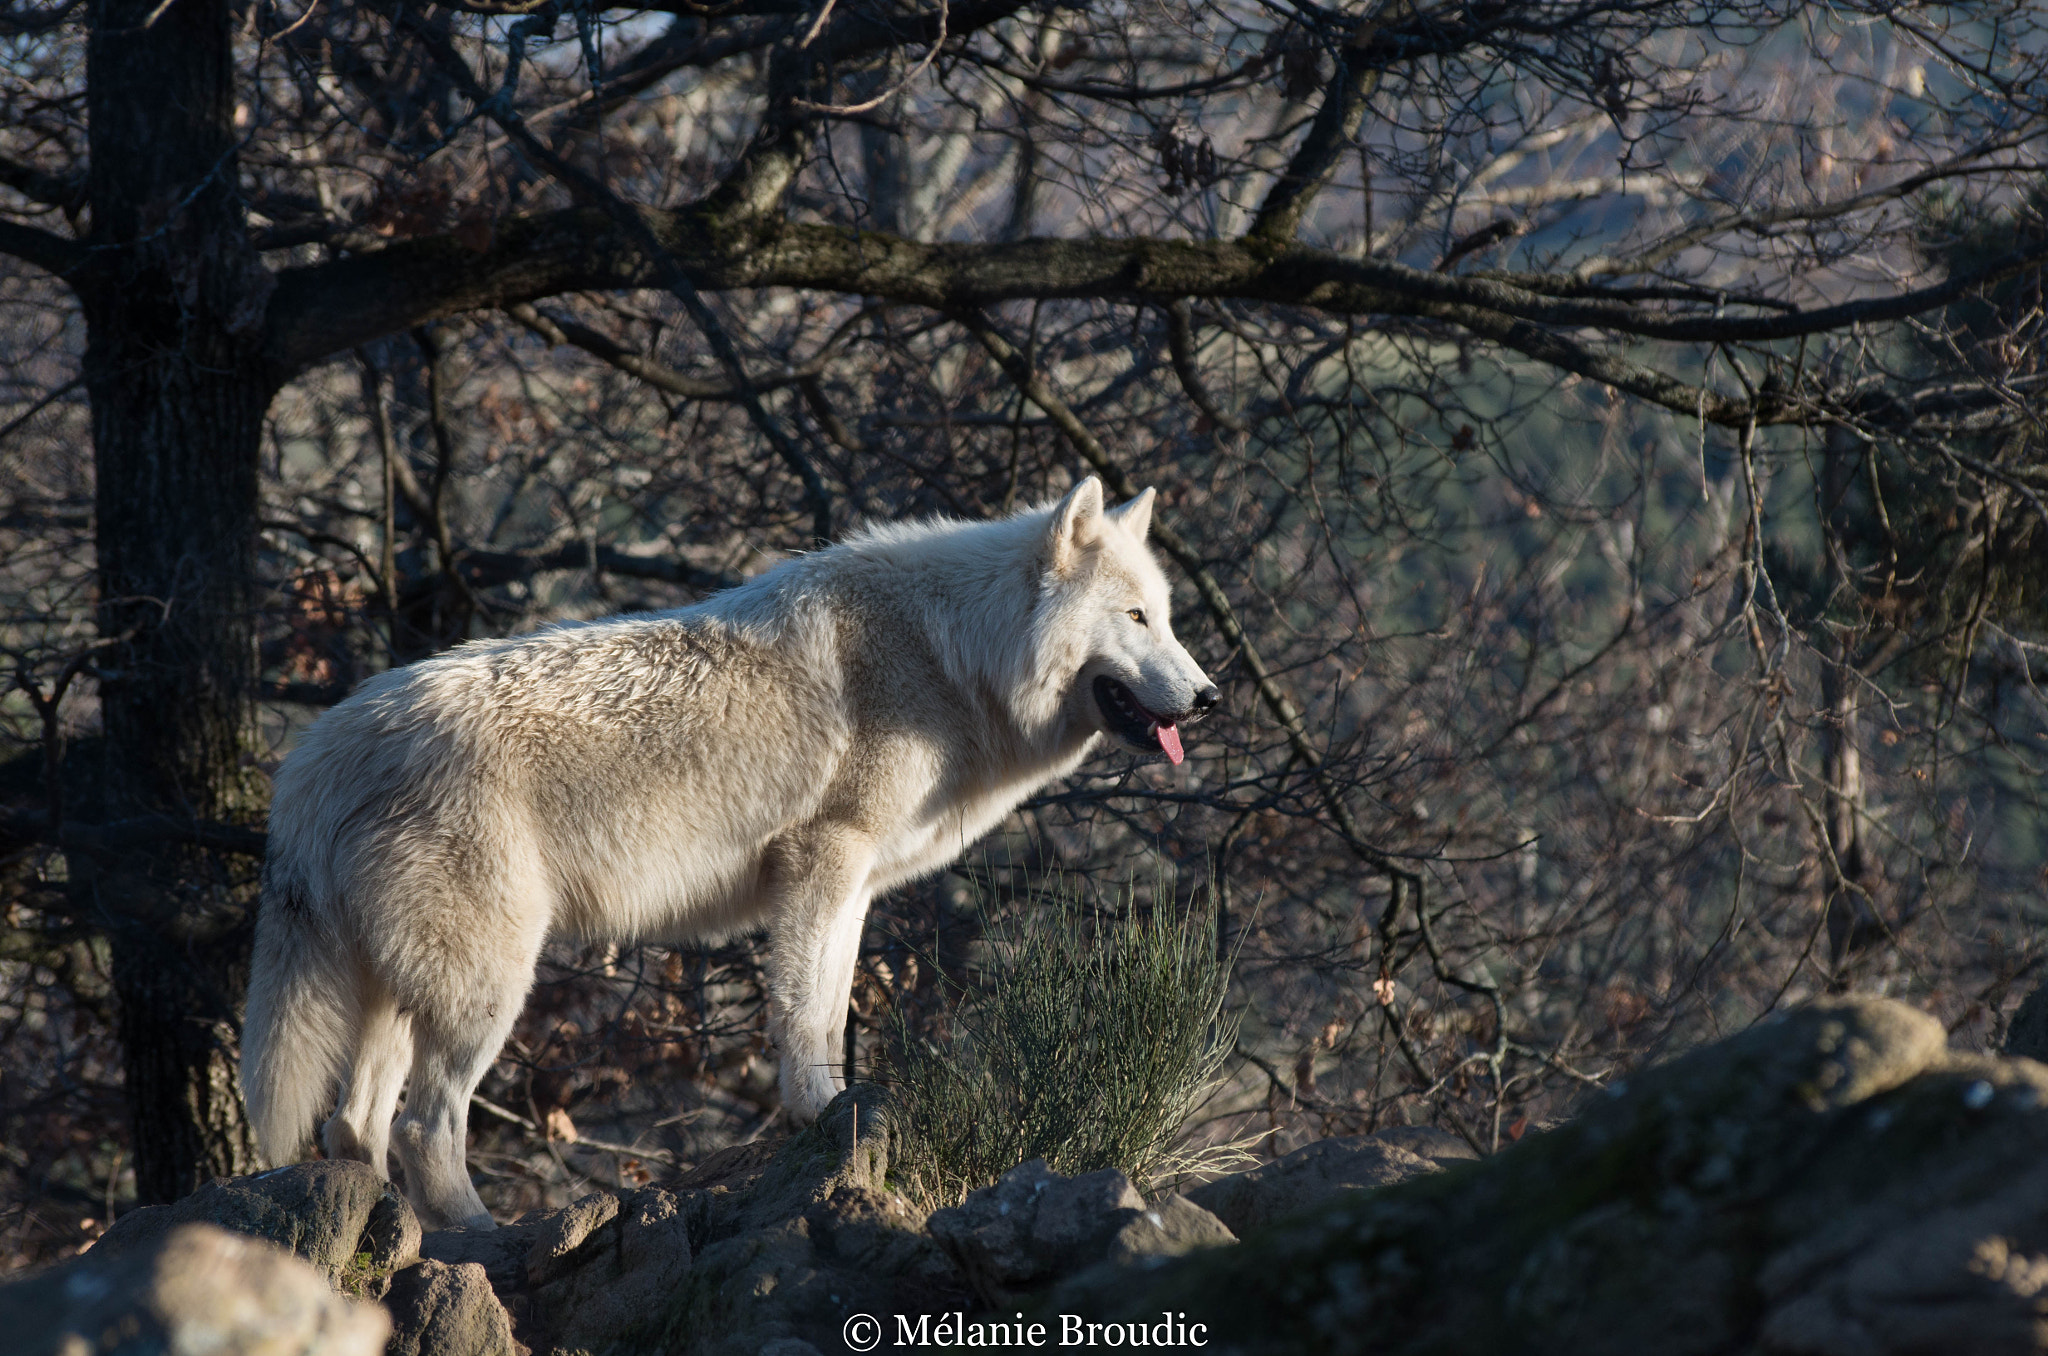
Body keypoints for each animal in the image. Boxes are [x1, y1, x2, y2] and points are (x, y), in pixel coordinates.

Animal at [247, 477, 1220, 1229]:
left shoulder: (853, 887)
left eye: (1170, 620)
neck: (954, 652)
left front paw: (829, 1111)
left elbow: (829, 1012)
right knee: (424, 1125)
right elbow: (804, 1012)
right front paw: (820, 1118)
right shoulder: (823, 860)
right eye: (1136, 617)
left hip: (398, 991)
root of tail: (315, 755)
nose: (1211, 696)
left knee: (355, 1127)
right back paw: (479, 1230)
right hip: (488, 985)